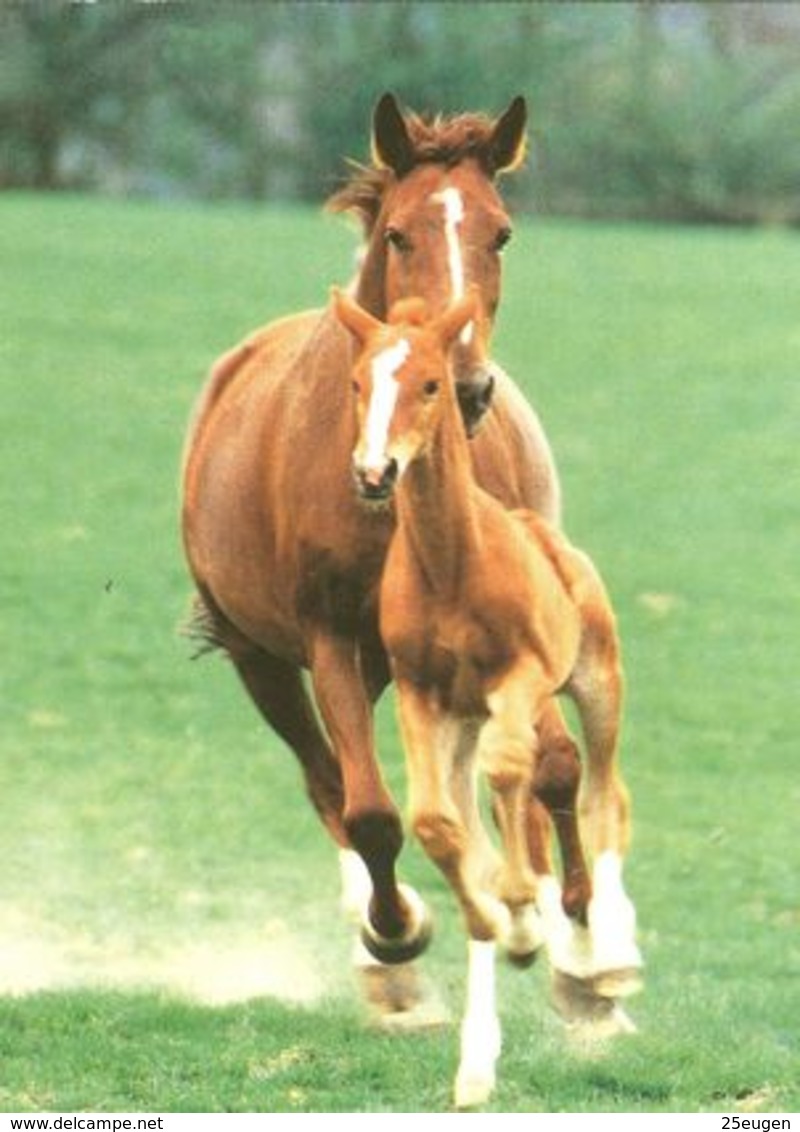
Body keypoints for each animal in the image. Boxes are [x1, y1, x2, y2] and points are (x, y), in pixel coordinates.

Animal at [332, 289, 642, 1104]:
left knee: (602, 792)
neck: (452, 568)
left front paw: (531, 911)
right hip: (462, 720)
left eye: (430, 384)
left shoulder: (520, 677)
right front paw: (507, 922)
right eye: (356, 383)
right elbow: (438, 825)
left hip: (596, 678)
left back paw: (601, 949)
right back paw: (478, 1057)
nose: (374, 472)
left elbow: (517, 771)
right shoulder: (421, 695)